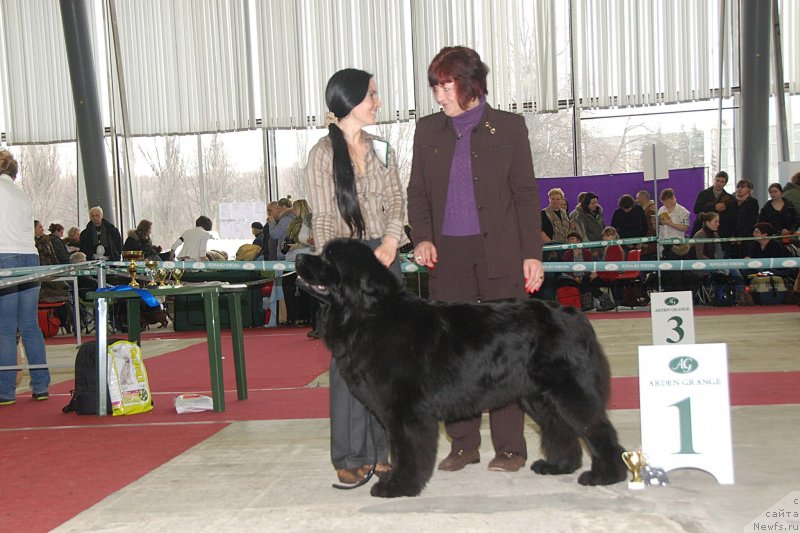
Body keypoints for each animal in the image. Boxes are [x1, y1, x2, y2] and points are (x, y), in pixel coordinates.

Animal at [296, 239, 628, 496]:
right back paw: (558, 466)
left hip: (568, 390)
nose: (298, 257)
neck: (368, 314)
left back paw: (606, 475)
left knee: (597, 427)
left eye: (328, 258)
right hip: (537, 396)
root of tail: (574, 314)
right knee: (560, 427)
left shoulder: (405, 411)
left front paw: (398, 486)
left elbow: (406, 450)